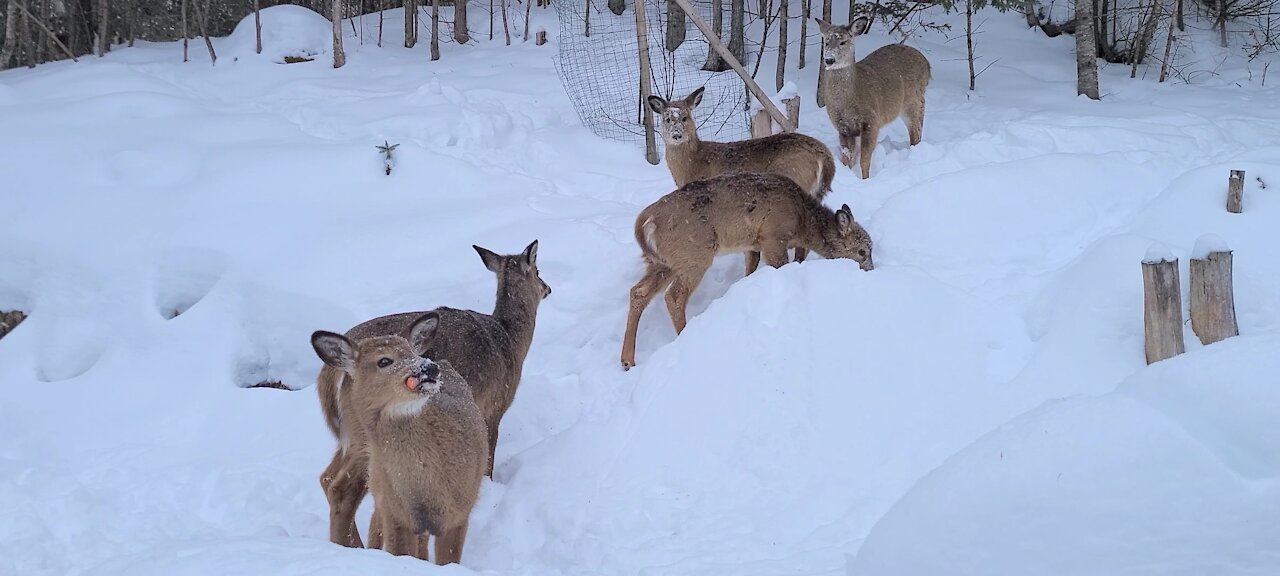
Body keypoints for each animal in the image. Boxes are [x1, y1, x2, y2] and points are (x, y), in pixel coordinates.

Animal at [614, 171, 875, 368]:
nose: (871, 270)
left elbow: (749, 271)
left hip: (663, 262)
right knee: (674, 296)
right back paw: (685, 335)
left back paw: (627, 360)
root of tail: (647, 219)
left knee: (638, 292)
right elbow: (780, 265)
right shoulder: (773, 237)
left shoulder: (753, 245)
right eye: (863, 251)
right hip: (694, 254)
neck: (802, 220)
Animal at [819, 16, 931, 179]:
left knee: (916, 131)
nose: (829, 59)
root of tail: (927, 64)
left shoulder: (871, 121)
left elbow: (864, 159)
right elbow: (847, 158)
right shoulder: (842, 127)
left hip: (912, 100)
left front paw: (865, 179)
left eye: (843, 42)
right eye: (826, 41)